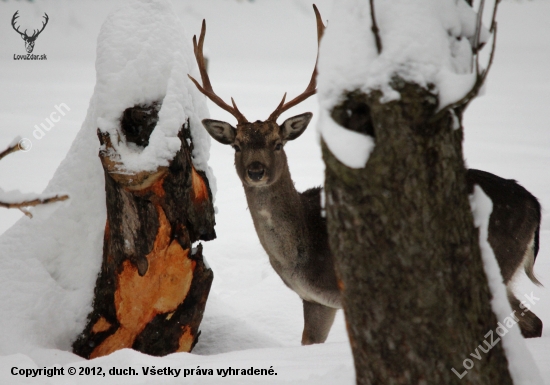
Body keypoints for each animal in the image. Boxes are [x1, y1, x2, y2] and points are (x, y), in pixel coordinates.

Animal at [189, 6, 544, 342]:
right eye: (237, 145)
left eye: (278, 143)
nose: (256, 170)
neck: (301, 255)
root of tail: (535, 205)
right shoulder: (316, 300)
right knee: (533, 322)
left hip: (496, 258)